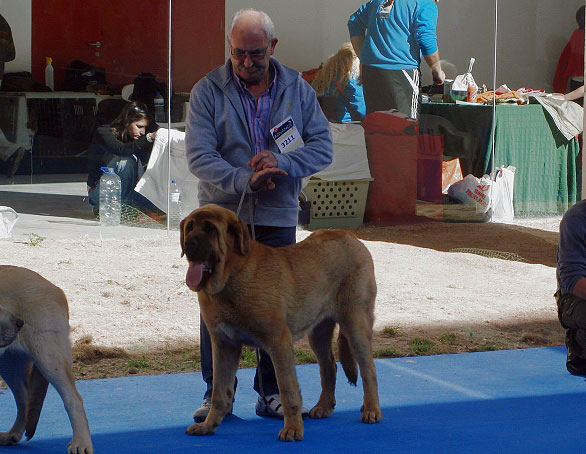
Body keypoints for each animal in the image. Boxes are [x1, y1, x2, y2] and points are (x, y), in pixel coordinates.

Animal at [0, 266, 92, 454]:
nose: (19, 322)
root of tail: (55, 288)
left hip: (48, 357)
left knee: (73, 398)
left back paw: (82, 442)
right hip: (8, 364)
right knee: (24, 399)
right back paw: (12, 435)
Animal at [180, 204, 380, 442]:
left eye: (210, 228)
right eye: (189, 227)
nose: (189, 243)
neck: (232, 275)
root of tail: (352, 237)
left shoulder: (279, 342)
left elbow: (287, 389)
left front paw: (292, 429)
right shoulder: (224, 346)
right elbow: (220, 391)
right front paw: (208, 426)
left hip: (356, 324)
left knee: (369, 369)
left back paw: (371, 410)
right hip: (318, 333)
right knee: (329, 366)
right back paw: (323, 406)